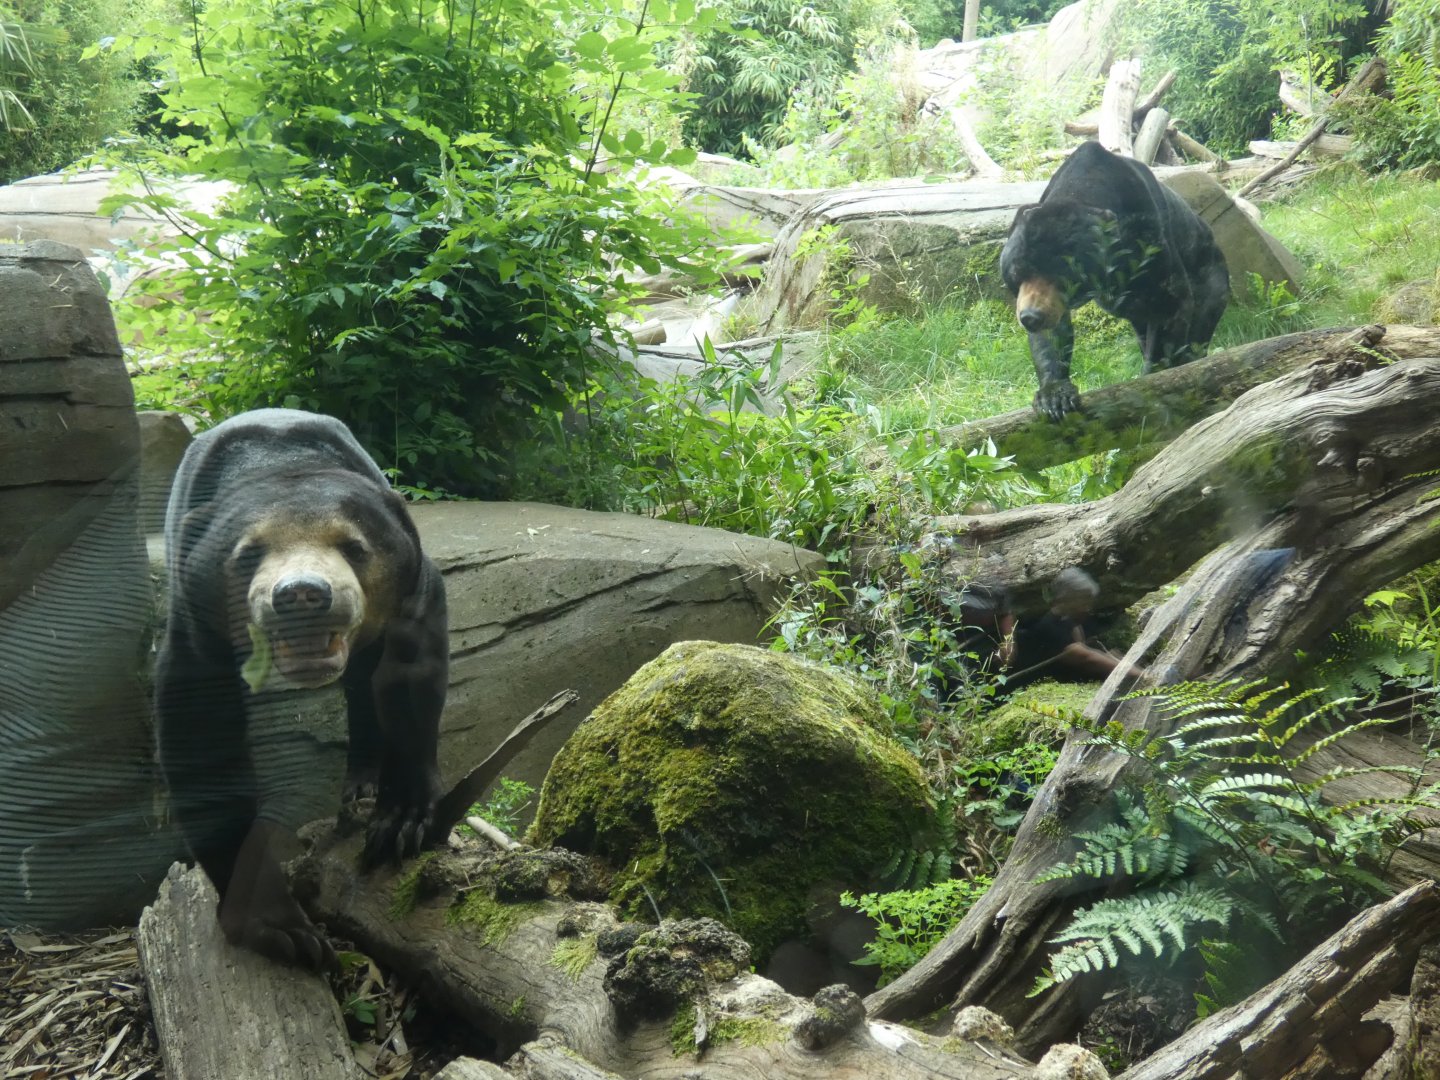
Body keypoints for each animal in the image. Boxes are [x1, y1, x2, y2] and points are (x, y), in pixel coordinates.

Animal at [155, 408, 448, 969]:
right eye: (248, 554)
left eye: (355, 547)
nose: (303, 594)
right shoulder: (196, 623)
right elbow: (200, 733)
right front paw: (282, 929)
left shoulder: (414, 588)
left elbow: (408, 685)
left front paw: (400, 822)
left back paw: (362, 785)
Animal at [999, 140, 1230, 420]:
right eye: (1016, 274)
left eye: (1062, 276)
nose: (1031, 316)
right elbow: (1053, 333)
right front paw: (1054, 396)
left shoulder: (1149, 236)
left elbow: (1171, 302)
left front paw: (1159, 375)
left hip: (1210, 276)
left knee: (1200, 323)